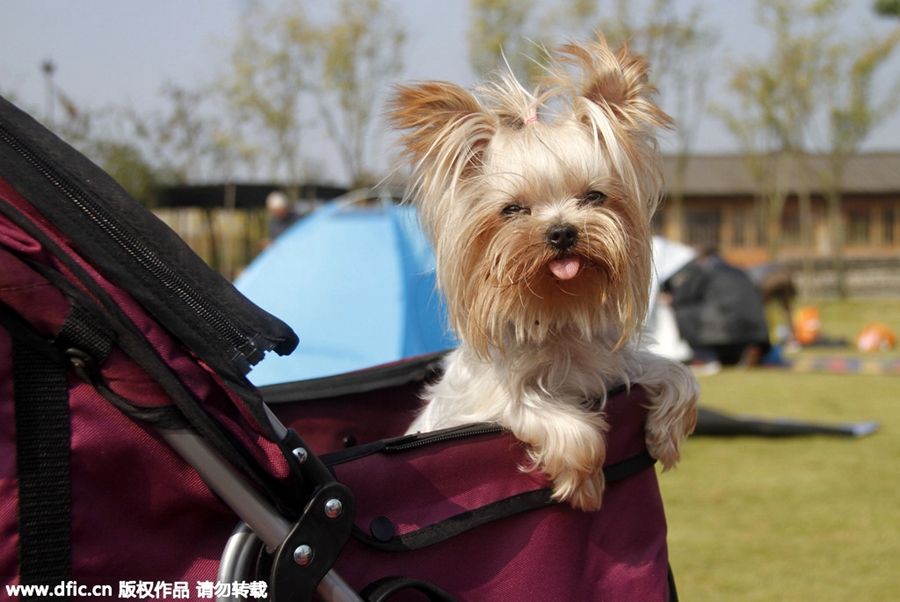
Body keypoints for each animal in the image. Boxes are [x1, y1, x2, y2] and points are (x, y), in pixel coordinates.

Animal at [390, 32, 700, 508]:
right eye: (512, 210)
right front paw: (585, 485)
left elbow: (680, 374)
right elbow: (568, 426)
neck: (557, 314)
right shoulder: (492, 401)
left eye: (594, 196)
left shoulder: (616, 365)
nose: (562, 232)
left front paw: (664, 435)